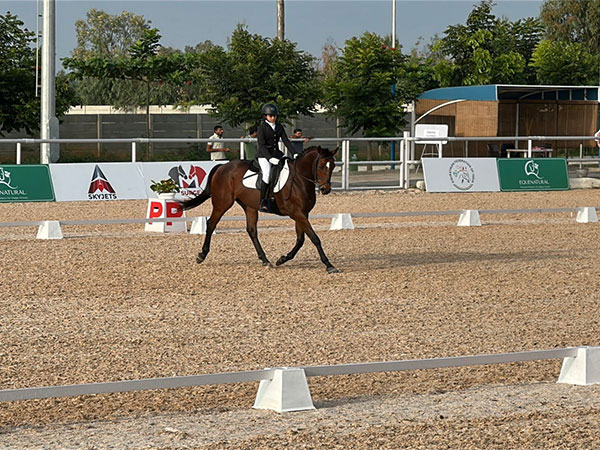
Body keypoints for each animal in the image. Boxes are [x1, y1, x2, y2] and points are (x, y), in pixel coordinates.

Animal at [180, 147, 340, 274]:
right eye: (321, 166)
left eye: (332, 166)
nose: (325, 189)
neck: (299, 180)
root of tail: (222, 166)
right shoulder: (297, 213)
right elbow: (314, 238)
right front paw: (329, 265)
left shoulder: (302, 214)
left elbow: (300, 240)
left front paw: (282, 259)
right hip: (222, 204)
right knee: (211, 224)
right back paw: (201, 255)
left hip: (249, 207)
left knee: (251, 230)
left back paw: (265, 260)